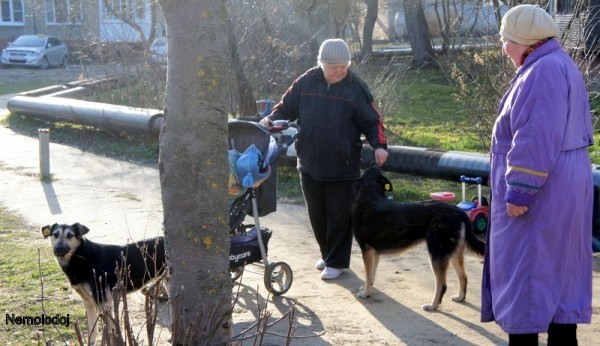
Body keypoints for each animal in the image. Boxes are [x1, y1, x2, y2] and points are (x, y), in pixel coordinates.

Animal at [352, 165, 488, 310]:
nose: (375, 162)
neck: (370, 195)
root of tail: (459, 212)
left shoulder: (366, 251)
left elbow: (368, 276)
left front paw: (365, 293)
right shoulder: (374, 253)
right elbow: (371, 277)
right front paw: (367, 290)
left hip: (436, 255)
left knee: (442, 285)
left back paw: (433, 306)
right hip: (454, 255)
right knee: (463, 277)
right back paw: (460, 297)